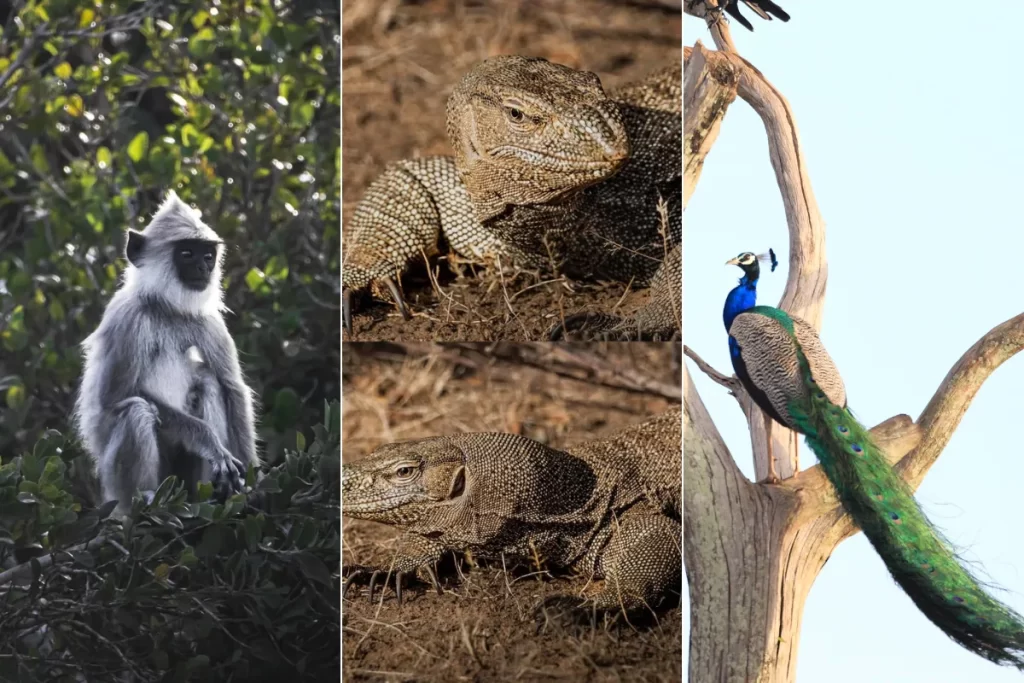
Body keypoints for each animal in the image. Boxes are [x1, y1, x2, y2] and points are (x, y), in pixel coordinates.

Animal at [74, 191, 258, 517]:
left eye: (208, 255)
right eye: (186, 253)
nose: (204, 269)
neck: (168, 309)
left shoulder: (209, 322)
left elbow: (233, 389)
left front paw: (252, 482)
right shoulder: (128, 319)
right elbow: (114, 397)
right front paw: (208, 440)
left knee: (209, 382)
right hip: (117, 485)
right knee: (136, 410)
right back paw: (147, 499)